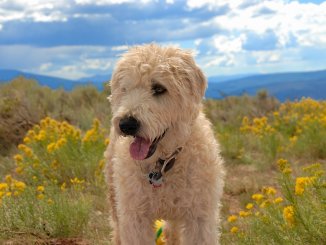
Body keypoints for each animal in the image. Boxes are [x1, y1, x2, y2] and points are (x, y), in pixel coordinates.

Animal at [105, 43, 225, 244]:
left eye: (159, 88)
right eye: (125, 89)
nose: (126, 124)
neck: (162, 165)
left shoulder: (200, 216)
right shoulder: (135, 217)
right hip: (115, 198)